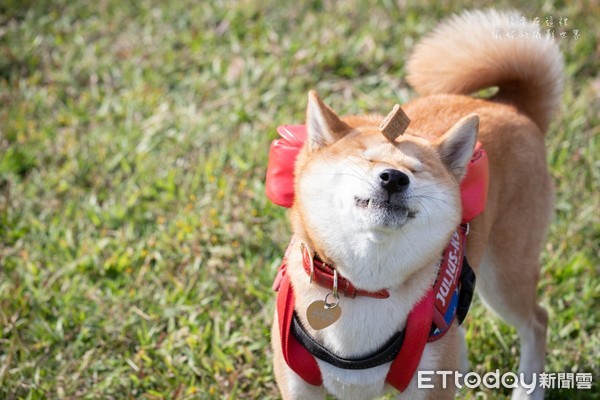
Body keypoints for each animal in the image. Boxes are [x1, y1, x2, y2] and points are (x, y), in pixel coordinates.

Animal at [272, 9, 564, 400]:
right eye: (367, 159)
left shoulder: (426, 386)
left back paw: (527, 390)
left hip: (504, 276)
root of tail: (508, 104)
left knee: (537, 320)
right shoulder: (300, 385)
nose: (394, 178)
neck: (365, 287)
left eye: (416, 170)